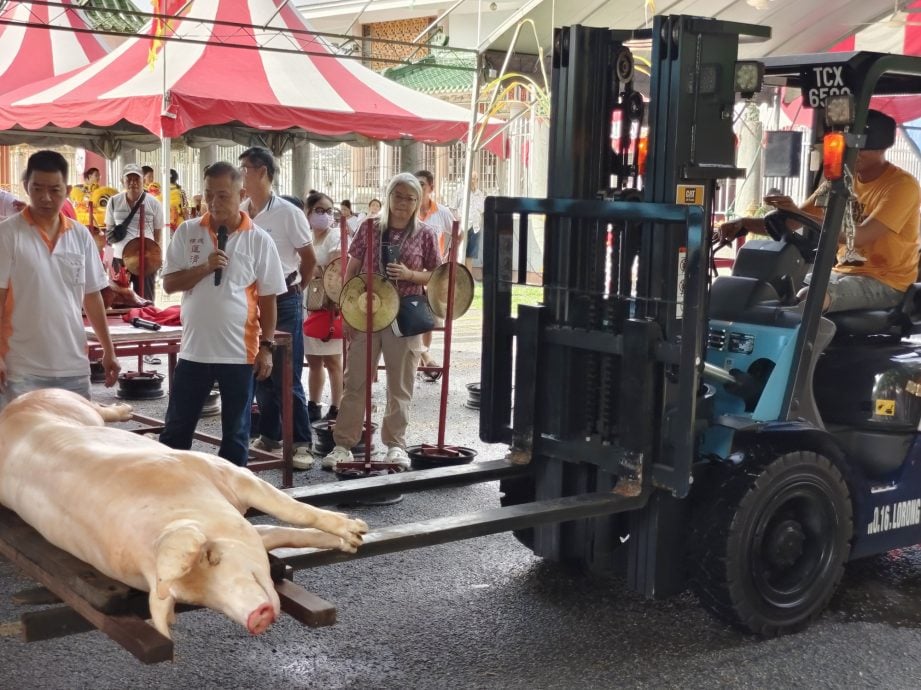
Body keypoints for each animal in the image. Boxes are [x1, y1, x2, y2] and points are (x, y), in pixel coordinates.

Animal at [0, 390, 366, 636]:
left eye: (212, 557)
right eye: (195, 597)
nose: (256, 617)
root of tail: (15, 406)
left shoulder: (222, 470)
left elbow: (292, 510)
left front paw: (357, 531)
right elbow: (277, 533)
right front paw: (353, 541)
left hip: (73, 405)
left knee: (96, 406)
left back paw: (128, 410)